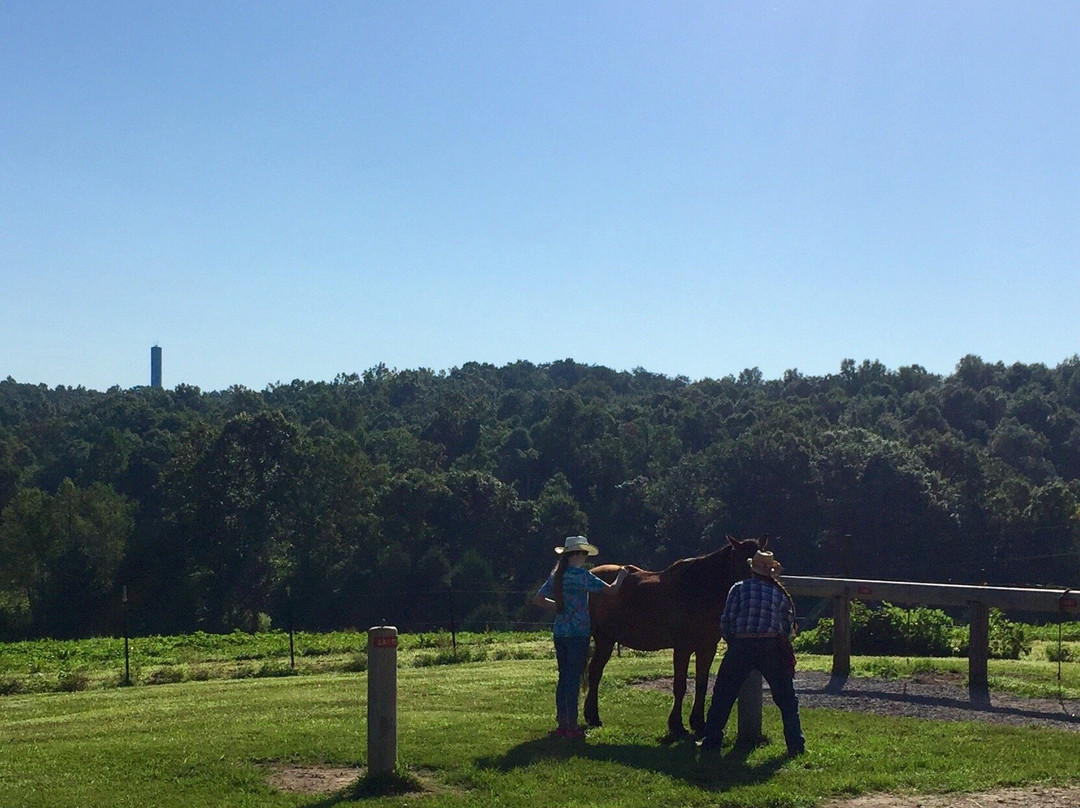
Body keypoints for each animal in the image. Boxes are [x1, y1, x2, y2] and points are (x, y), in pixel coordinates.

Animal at [583, 533, 768, 743]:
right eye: (745, 562)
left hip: (606, 640)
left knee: (595, 672)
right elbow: (680, 685)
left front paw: (698, 723)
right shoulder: (683, 648)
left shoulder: (707, 647)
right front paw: (677, 726)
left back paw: (592, 716)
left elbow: (702, 684)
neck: (698, 590)